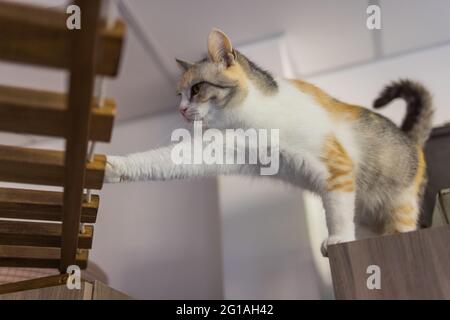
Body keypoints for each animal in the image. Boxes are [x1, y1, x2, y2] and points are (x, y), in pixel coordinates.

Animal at [103, 28, 434, 256]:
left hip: (400, 205)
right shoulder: (221, 150)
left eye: (196, 89)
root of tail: (410, 137)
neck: (254, 120)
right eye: (178, 96)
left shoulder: (336, 167)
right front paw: (110, 167)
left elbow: (337, 211)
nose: (181, 110)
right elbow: (159, 160)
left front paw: (337, 239)